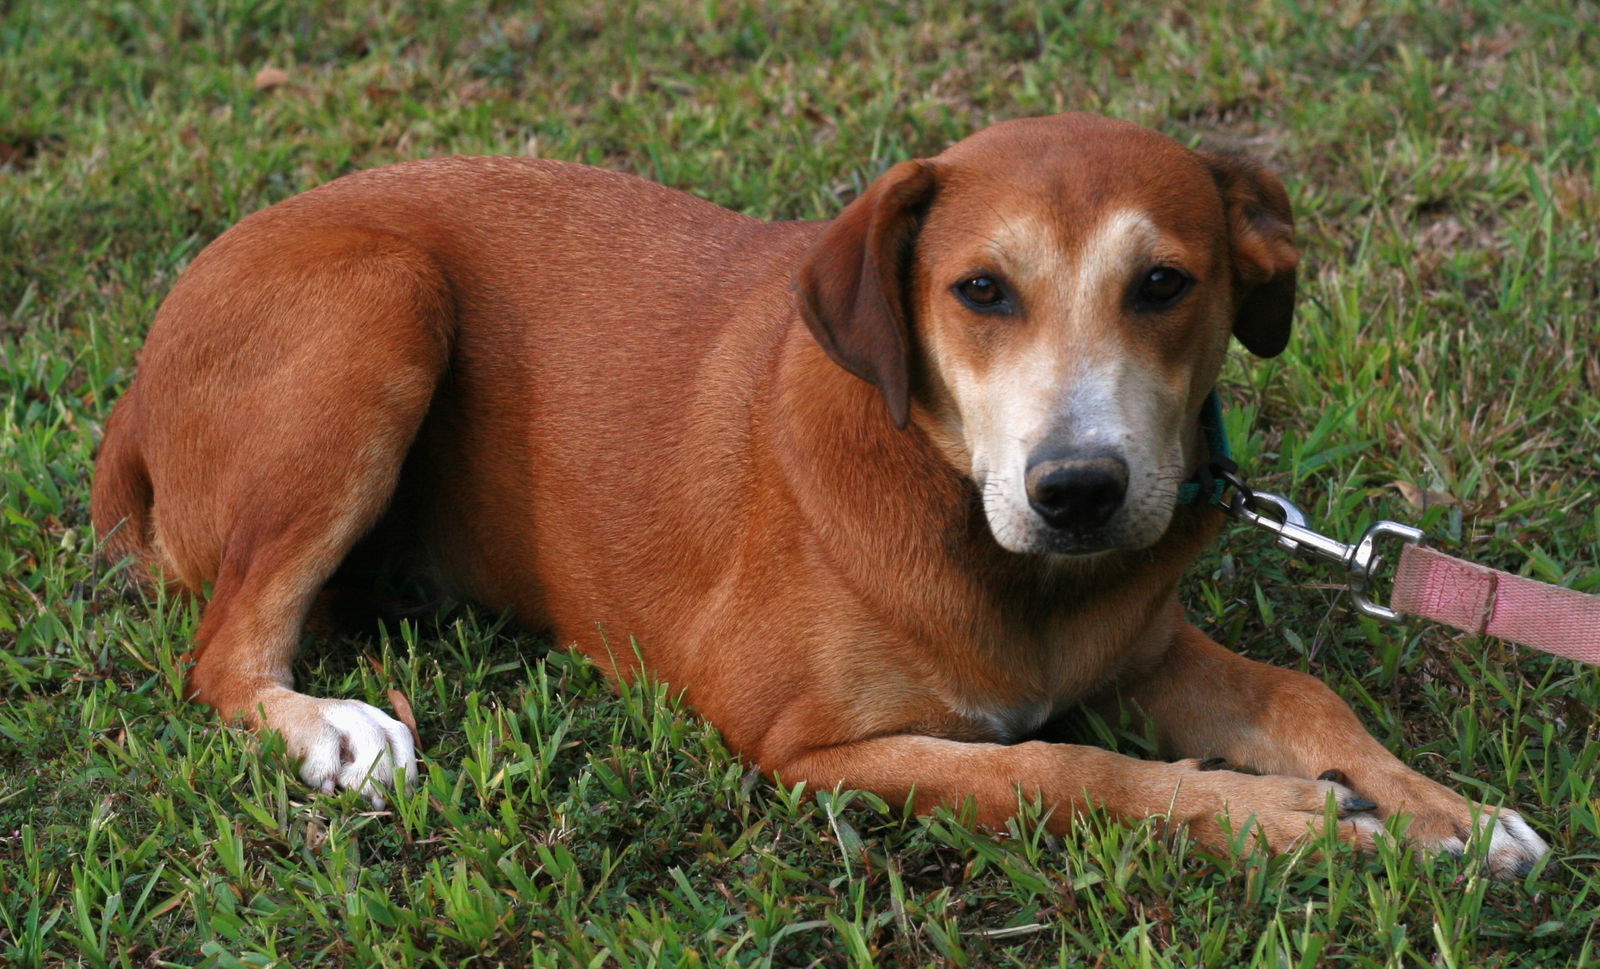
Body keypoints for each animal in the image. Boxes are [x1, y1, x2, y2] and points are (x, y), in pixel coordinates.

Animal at [93, 113, 1542, 882]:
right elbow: (1056, 769)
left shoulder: (1141, 647)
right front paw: (1282, 820)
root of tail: (140, 384)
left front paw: (1450, 815)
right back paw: (327, 727)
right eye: (981, 290)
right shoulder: (802, 746)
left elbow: (1302, 696)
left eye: (1164, 285)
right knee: (222, 652)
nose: (1079, 490)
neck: (980, 532)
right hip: (383, 302)